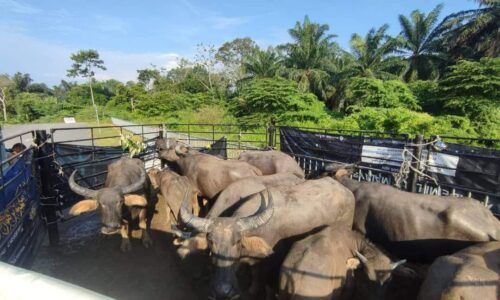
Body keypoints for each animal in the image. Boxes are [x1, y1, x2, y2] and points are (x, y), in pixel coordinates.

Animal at [176, 177, 356, 298]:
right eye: (210, 243)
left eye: (237, 242)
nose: (222, 291)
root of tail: (346, 191)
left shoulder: (269, 262)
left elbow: (262, 278)